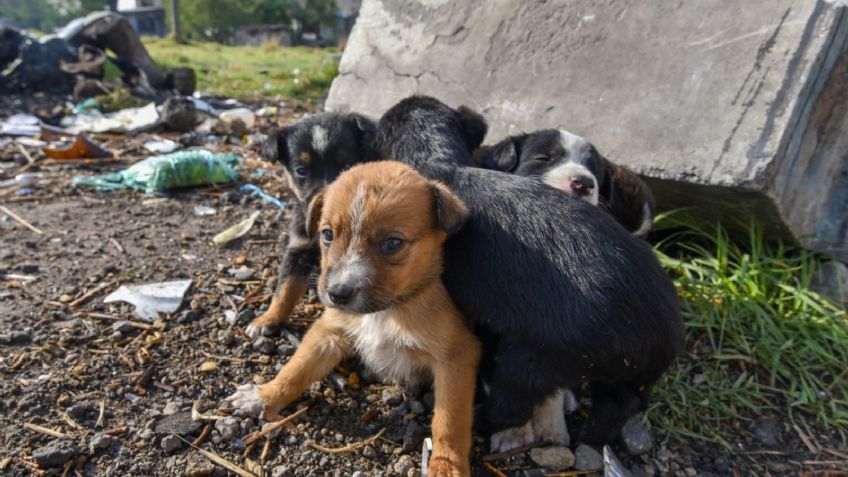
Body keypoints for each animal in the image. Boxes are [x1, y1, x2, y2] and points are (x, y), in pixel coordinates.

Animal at [229, 161, 480, 476]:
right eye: (327, 234)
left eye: (392, 243)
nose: (337, 294)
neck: (386, 312)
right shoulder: (329, 331)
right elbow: (296, 368)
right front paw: (264, 395)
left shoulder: (456, 355)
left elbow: (449, 421)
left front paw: (446, 466)